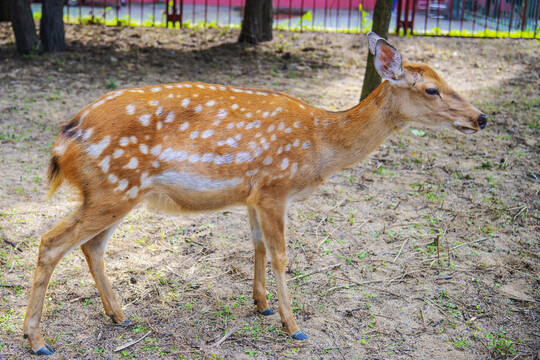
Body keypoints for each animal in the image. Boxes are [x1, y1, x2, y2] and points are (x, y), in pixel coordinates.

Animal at [23, 32, 488, 352]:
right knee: (51, 242)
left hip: (117, 193)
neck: (320, 145)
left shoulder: (254, 193)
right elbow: (282, 255)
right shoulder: (276, 188)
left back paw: (118, 315)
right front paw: (293, 326)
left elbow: (258, 245)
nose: (481, 118)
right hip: (113, 188)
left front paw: (262, 305)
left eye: (446, 79)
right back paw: (38, 340)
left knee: (91, 246)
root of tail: (63, 140)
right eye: (431, 89)